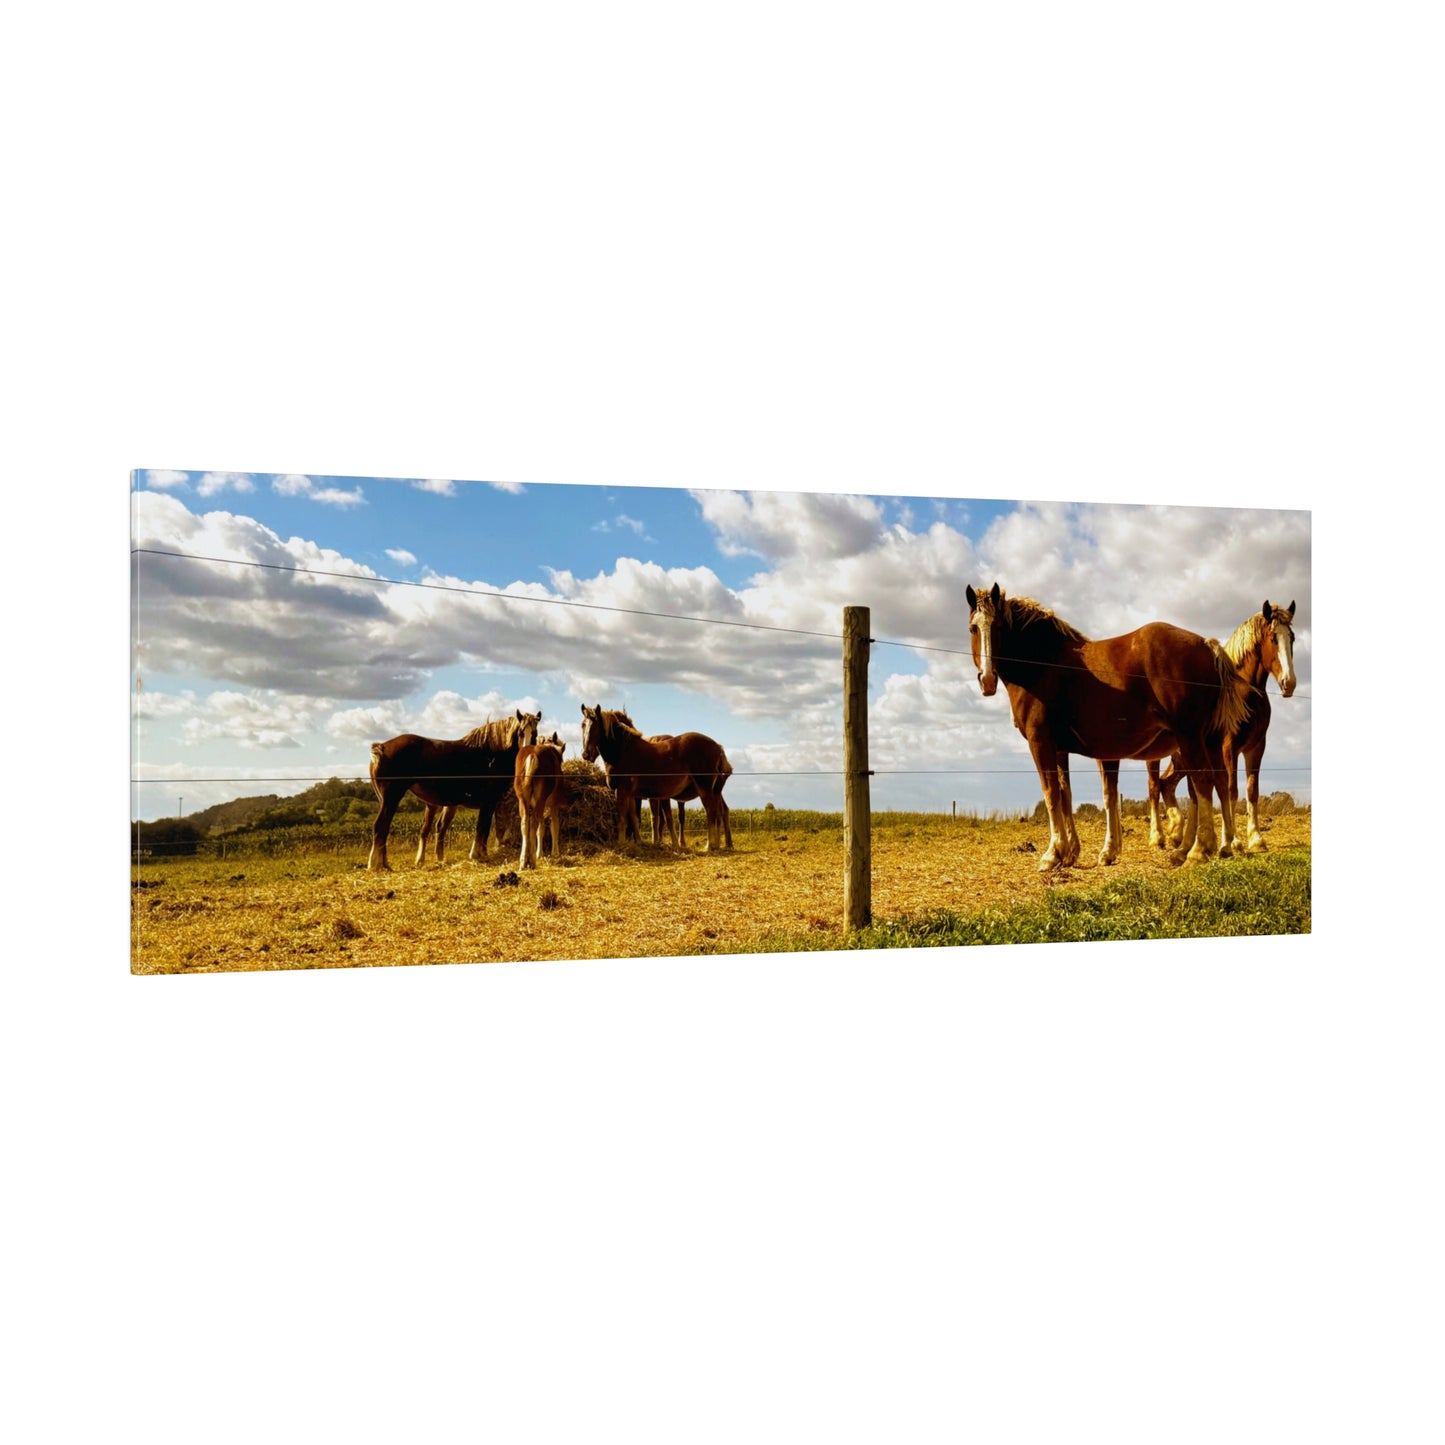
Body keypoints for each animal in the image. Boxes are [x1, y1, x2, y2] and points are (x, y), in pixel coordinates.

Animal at [367, 708, 543, 867]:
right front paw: (476, 855)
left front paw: (483, 854)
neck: (492, 755)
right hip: (392, 798)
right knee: (380, 826)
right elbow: (481, 828)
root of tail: (382, 747)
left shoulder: (491, 804)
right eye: (520, 732)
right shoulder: (488, 802)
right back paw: (377, 865)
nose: (526, 752)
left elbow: (485, 829)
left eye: (534, 733)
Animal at [517, 734, 566, 867]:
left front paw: (540, 853)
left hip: (523, 799)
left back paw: (523, 860)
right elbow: (554, 826)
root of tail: (533, 754)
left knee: (525, 823)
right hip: (540, 800)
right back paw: (532, 860)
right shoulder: (554, 804)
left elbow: (542, 828)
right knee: (534, 822)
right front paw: (554, 853)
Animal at [578, 705, 734, 849]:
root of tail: (718, 746)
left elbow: (622, 819)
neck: (624, 751)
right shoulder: (632, 795)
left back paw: (709, 846)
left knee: (711, 812)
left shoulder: (622, 791)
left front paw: (621, 844)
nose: (586, 754)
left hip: (704, 788)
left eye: (596, 725)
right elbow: (634, 818)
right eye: (583, 725)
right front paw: (639, 842)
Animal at [971, 578, 1254, 867]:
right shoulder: (1061, 750)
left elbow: (1050, 793)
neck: (1044, 664)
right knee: (1220, 782)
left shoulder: (1041, 743)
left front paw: (1053, 853)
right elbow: (1066, 795)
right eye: (973, 627)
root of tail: (1208, 645)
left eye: (997, 628)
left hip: (1190, 738)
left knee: (1203, 782)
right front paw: (1072, 851)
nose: (987, 679)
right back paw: (1223, 846)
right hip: (1209, 740)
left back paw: (1199, 849)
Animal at [1144, 601, 1306, 855]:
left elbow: (1251, 790)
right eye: (1272, 638)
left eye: (1292, 638)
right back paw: (1158, 837)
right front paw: (1233, 841)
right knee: (1153, 787)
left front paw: (1256, 839)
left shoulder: (1255, 748)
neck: (1245, 693)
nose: (1289, 683)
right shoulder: (1229, 748)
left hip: (1182, 758)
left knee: (1167, 784)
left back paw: (1178, 833)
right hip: (1156, 756)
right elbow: (1230, 790)